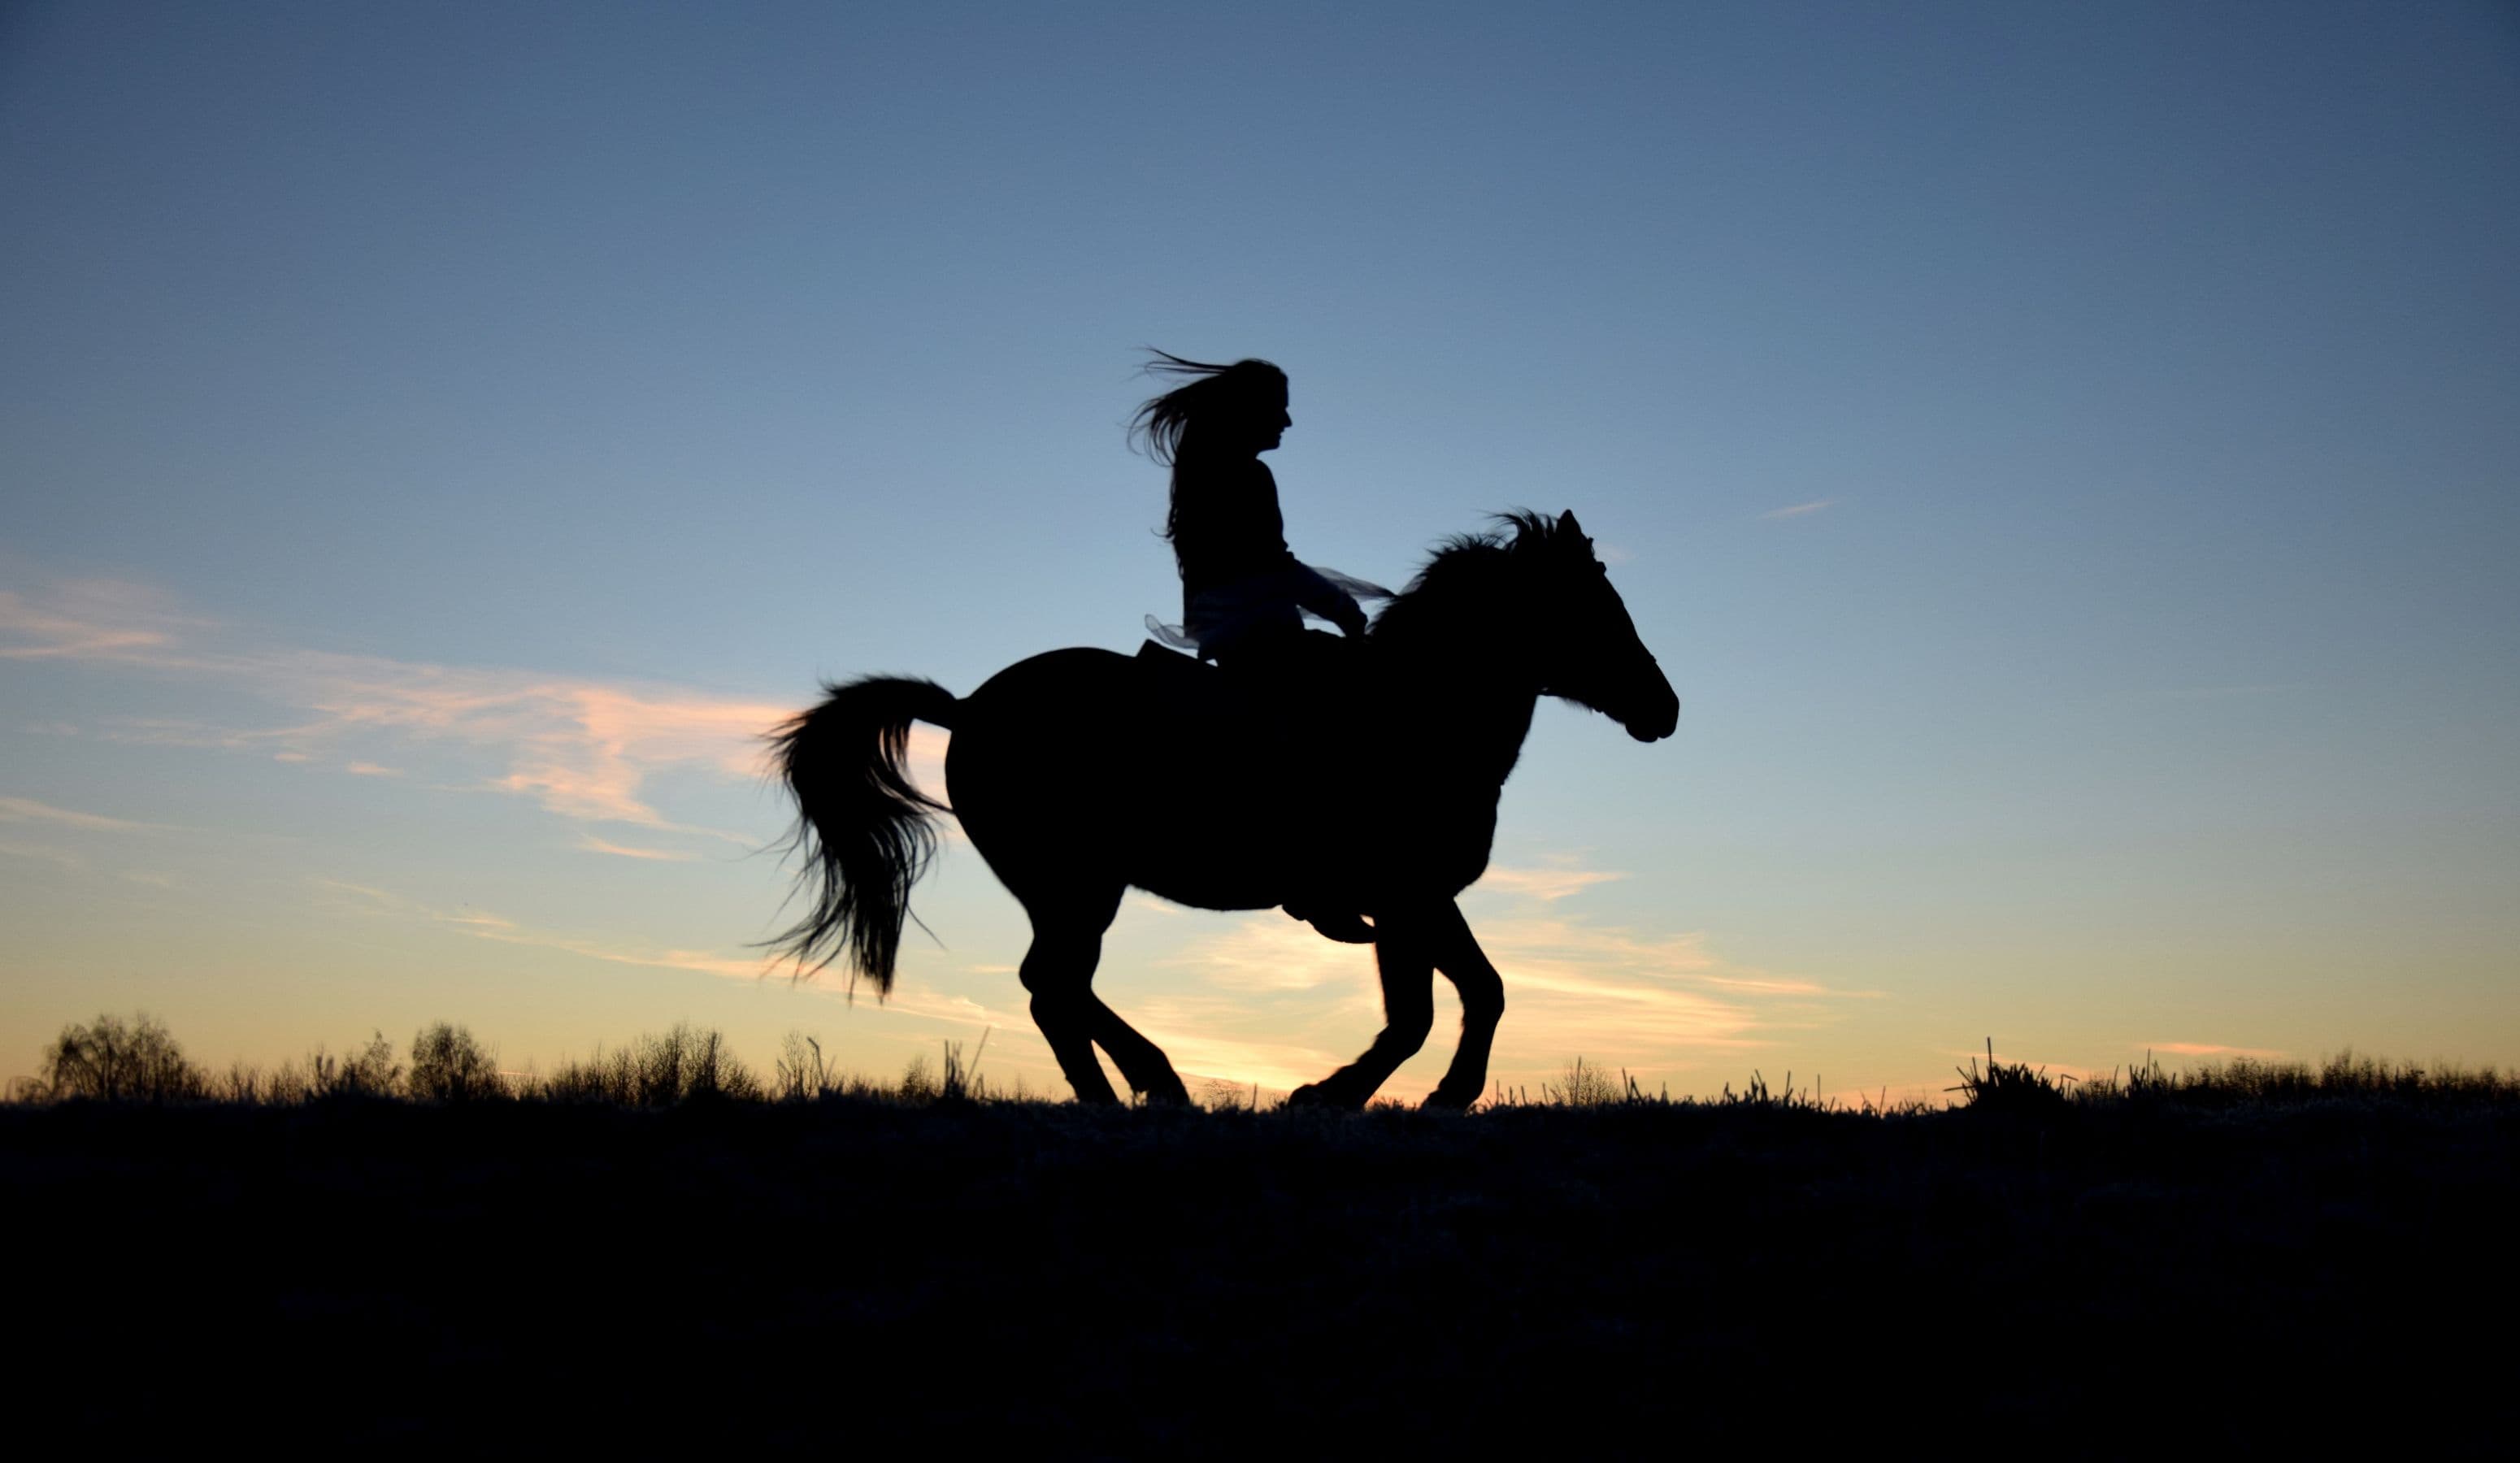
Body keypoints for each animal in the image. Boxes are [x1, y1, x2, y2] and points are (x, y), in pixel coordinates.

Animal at [766, 508, 1673, 1102]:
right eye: (1592, 610)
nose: (1663, 710)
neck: (1412, 716)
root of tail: (966, 709)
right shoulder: (1404, 897)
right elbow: (1432, 1009)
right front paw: (1344, 1095)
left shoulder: (1413, 903)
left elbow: (1464, 997)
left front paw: (1408, 1095)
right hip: (1076, 886)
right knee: (1052, 986)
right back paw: (1145, 1090)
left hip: (1071, 890)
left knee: (1055, 988)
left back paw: (1142, 1089)